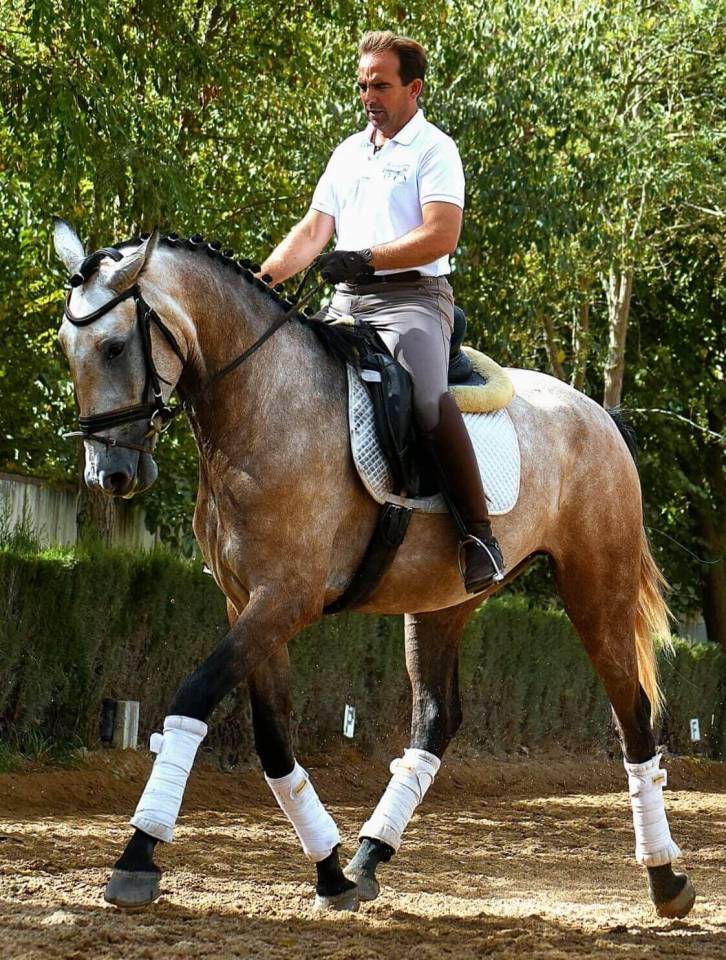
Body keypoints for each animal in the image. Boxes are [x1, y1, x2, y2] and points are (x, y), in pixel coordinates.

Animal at [52, 220, 695, 919]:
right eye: (65, 348)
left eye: (115, 347)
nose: (109, 475)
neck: (264, 403)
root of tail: (600, 414)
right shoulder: (246, 601)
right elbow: (273, 739)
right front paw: (331, 872)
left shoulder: (285, 599)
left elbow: (194, 696)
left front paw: (137, 856)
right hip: (445, 600)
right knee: (438, 717)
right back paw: (367, 857)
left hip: (595, 586)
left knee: (633, 712)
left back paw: (666, 879)